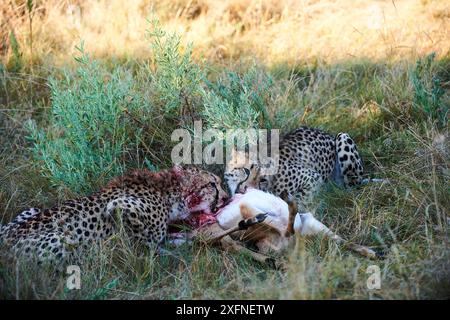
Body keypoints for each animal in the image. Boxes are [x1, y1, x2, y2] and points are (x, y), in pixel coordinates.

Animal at [0, 165, 229, 262]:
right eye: (212, 184)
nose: (226, 198)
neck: (167, 193)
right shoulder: (118, 206)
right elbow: (146, 241)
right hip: (61, 238)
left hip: (31, 211)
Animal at [223, 126, 364, 209]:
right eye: (246, 170)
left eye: (262, 180)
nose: (247, 189)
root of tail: (326, 133)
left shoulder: (313, 178)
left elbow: (300, 199)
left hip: (343, 137)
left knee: (352, 188)